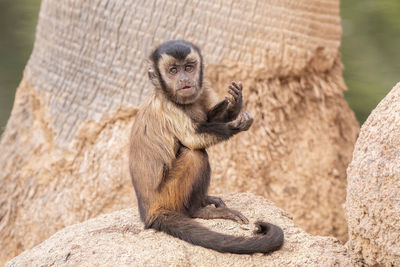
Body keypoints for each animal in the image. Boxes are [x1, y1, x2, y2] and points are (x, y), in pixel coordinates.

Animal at [130, 39, 282, 255]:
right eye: (173, 70)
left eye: (188, 68)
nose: (184, 79)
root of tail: (149, 211)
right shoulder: (167, 106)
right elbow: (193, 139)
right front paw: (235, 124)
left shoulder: (204, 88)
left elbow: (208, 118)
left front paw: (234, 107)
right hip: (168, 196)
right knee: (195, 154)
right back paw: (197, 210)